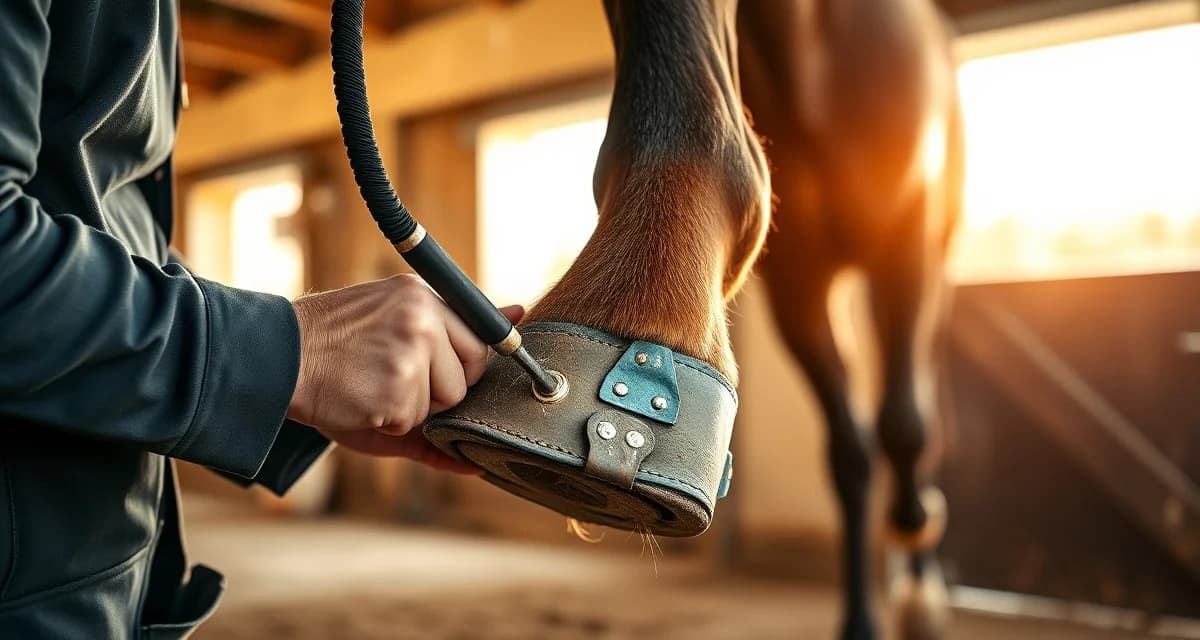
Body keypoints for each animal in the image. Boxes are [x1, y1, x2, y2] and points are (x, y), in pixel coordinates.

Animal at [525, 1, 963, 638]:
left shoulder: (906, 239)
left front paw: (918, 565)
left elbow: (907, 426)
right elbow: (850, 452)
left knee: (923, 412)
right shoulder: (799, 283)